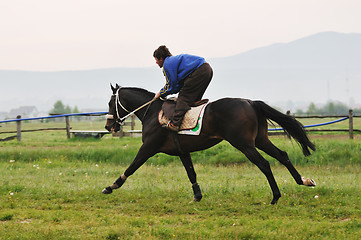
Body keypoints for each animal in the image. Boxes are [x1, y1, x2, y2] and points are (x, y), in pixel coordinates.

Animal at [102, 84, 316, 204]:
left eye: (110, 103)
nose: (108, 126)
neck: (153, 112)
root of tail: (250, 102)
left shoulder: (148, 148)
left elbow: (131, 168)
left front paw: (111, 186)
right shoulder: (182, 151)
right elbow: (191, 173)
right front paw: (197, 196)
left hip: (244, 144)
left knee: (264, 164)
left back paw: (275, 196)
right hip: (261, 140)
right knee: (282, 155)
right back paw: (303, 181)